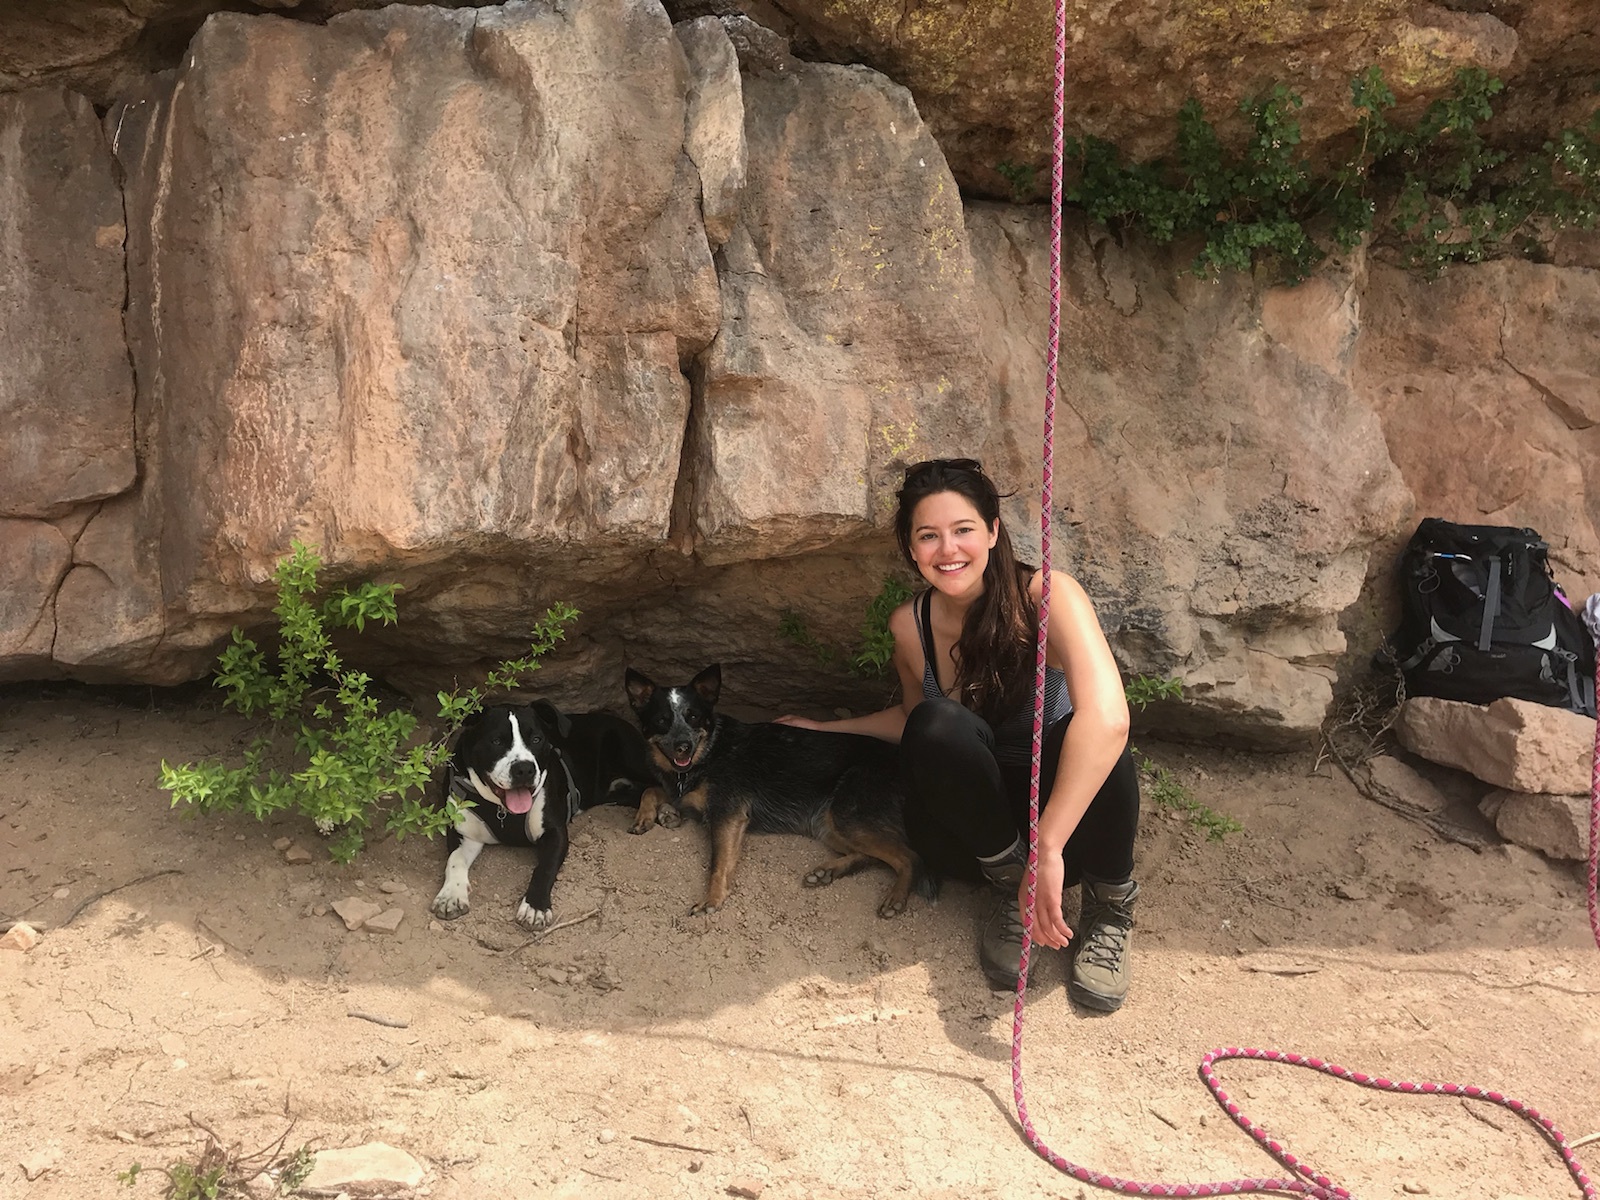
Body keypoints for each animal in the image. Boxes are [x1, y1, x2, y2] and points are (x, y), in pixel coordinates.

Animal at [432, 704, 649, 928]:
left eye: (536, 739)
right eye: (496, 741)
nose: (524, 768)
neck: (503, 811)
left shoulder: (555, 834)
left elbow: (544, 869)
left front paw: (535, 907)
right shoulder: (464, 834)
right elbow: (455, 860)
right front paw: (451, 895)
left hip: (634, 759)